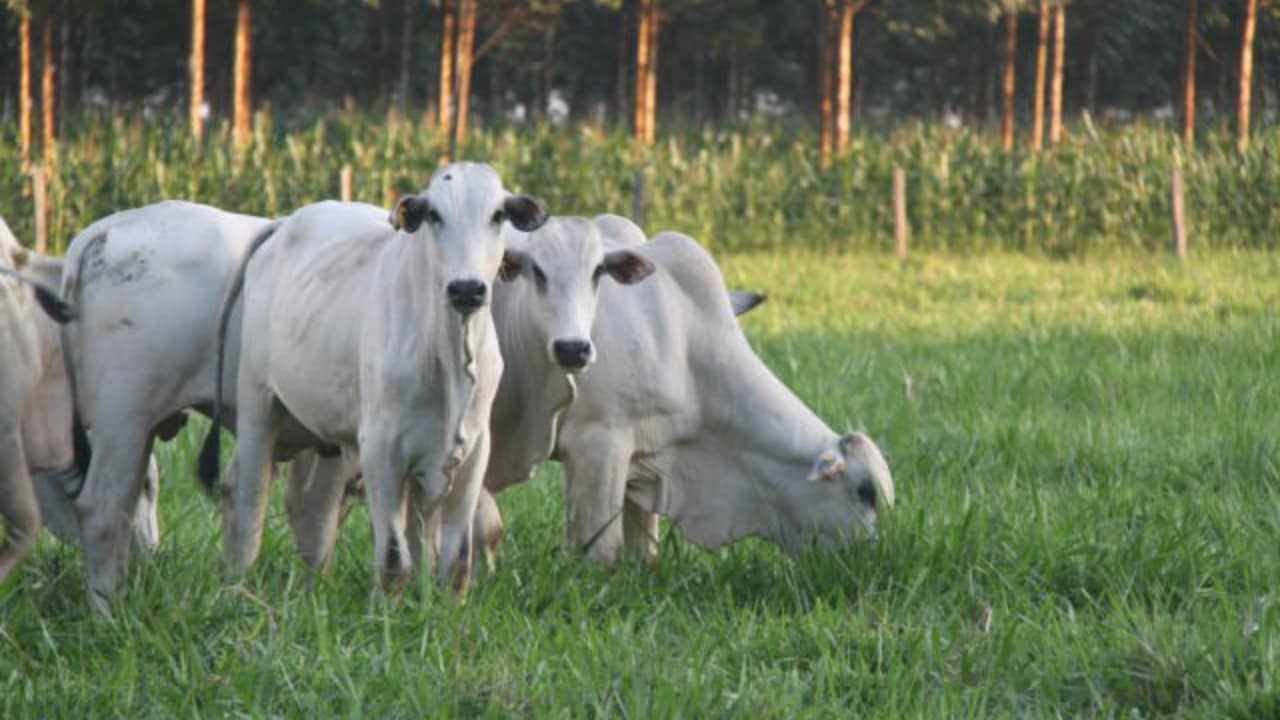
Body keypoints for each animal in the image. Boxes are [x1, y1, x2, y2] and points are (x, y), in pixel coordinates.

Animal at [204, 162, 550, 589]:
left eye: (497, 215)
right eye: (434, 215)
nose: (466, 289)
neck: (449, 356)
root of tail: (285, 223)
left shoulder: (472, 454)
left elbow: (455, 561)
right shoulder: (381, 451)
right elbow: (393, 559)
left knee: (314, 507)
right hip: (258, 403)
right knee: (248, 497)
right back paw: (238, 582)